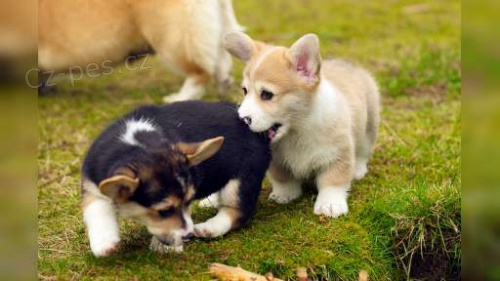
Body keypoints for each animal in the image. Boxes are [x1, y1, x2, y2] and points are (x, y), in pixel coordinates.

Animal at [81, 100, 270, 256]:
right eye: (164, 211)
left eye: (189, 202)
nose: (189, 236)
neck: (134, 145)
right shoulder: (92, 188)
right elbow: (97, 210)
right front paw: (105, 244)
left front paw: (166, 247)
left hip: (243, 179)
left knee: (237, 211)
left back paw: (209, 228)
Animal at [223, 32, 378, 217]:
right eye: (245, 91)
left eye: (267, 94)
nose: (241, 120)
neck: (298, 128)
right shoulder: (277, 161)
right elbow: (282, 178)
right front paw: (285, 195)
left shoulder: (337, 155)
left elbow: (332, 181)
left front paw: (330, 204)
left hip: (369, 127)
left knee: (363, 152)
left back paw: (358, 170)